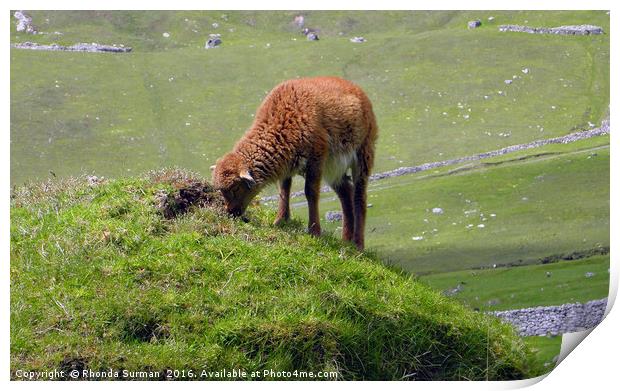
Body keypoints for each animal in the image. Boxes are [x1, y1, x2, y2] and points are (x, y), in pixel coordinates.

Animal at [212, 75, 378, 250]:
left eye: (236, 188)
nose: (231, 213)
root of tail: (356, 89)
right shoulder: (288, 163)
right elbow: (284, 189)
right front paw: (281, 220)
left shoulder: (316, 157)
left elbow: (310, 192)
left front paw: (314, 231)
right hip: (333, 166)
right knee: (346, 193)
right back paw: (346, 241)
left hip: (364, 152)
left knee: (359, 196)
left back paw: (358, 244)